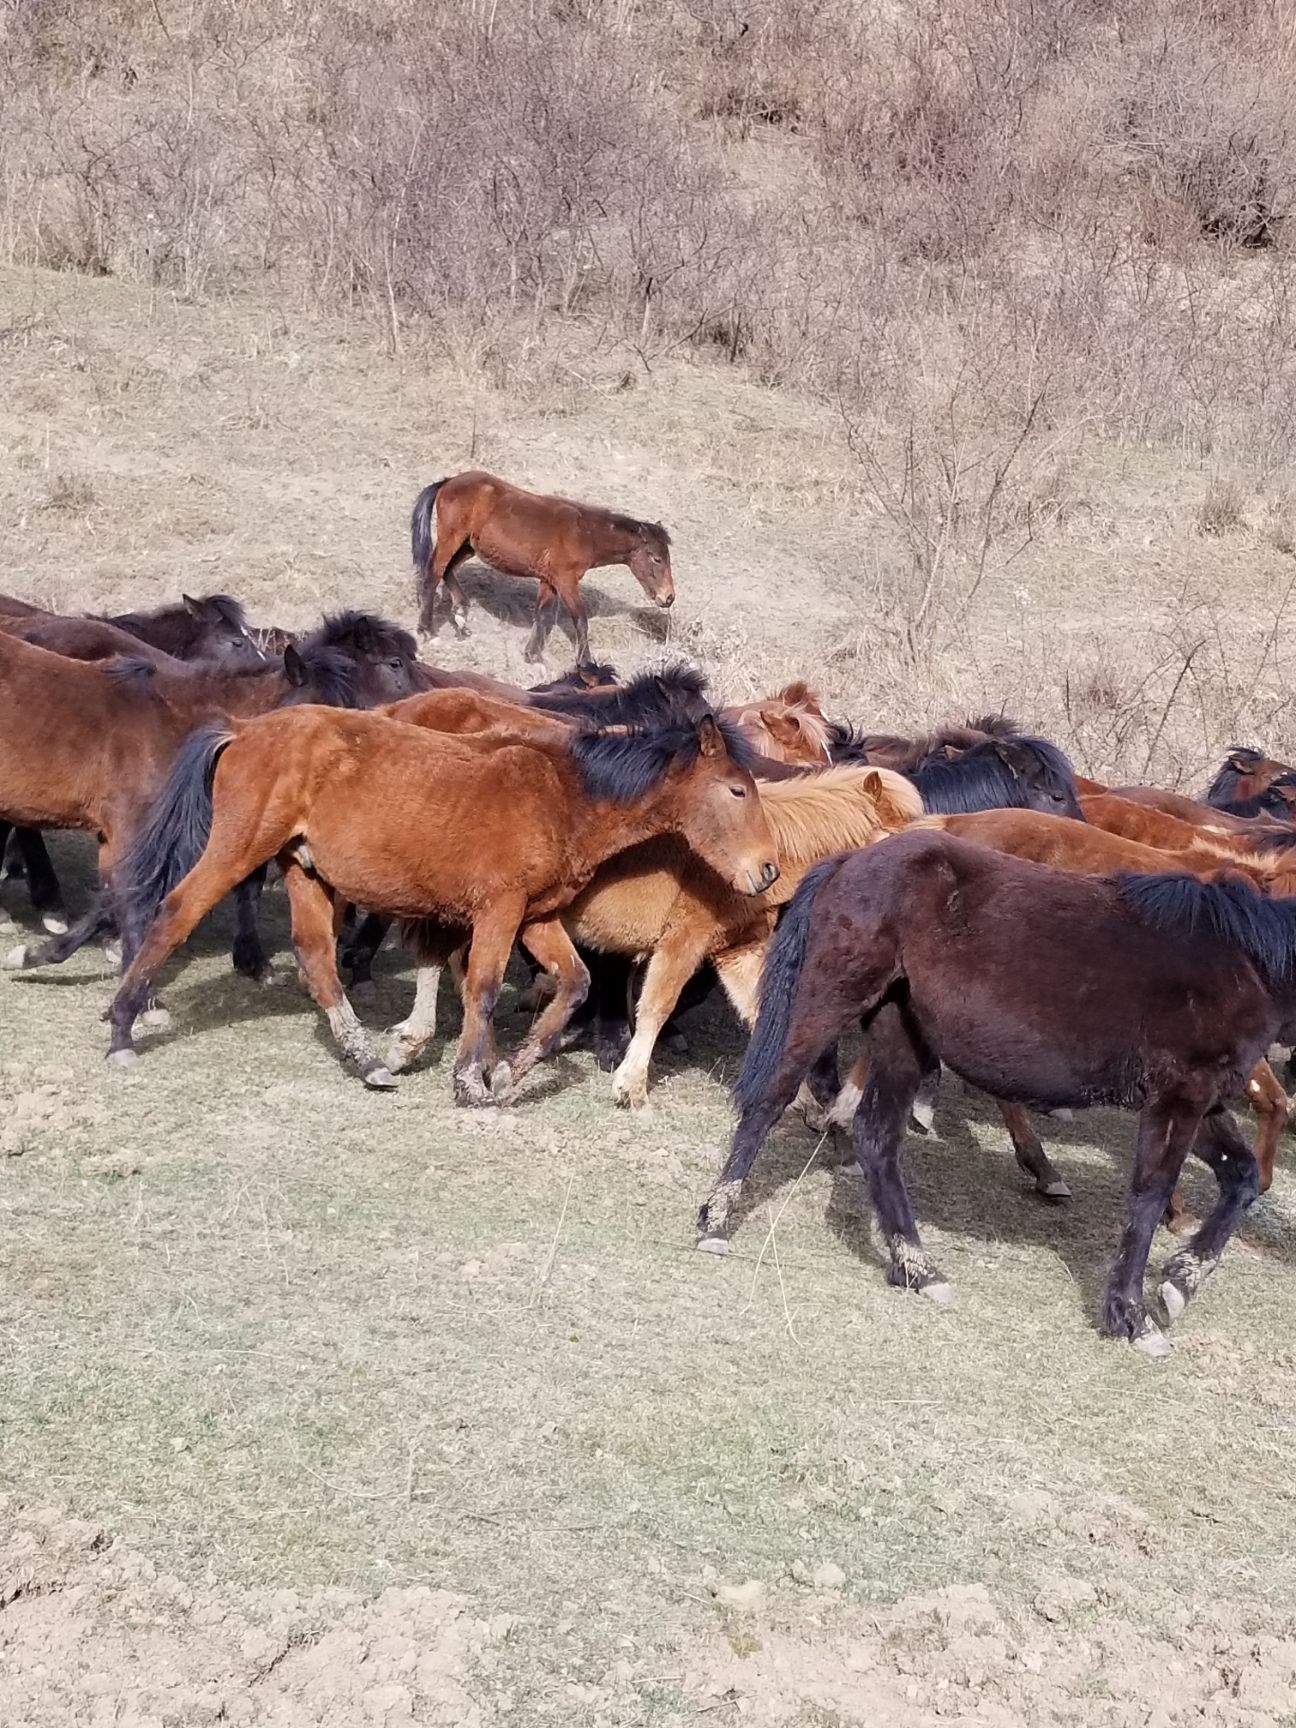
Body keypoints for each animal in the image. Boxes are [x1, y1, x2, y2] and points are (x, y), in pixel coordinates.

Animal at [412, 470, 680, 663]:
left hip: (468, 545)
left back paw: (460, 619)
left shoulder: (548, 580)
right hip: (452, 538)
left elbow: (542, 614)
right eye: (657, 558)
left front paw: (532, 655)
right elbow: (580, 620)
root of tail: (449, 482)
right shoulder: (566, 580)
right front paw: (585, 662)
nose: (668, 597)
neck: (584, 533)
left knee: (447, 571)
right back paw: (428, 630)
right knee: (434, 573)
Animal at [694, 829, 1285, 1354]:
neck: (1241, 961)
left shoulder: (1203, 1100)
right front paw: (1133, 1317)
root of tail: (850, 859)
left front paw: (1180, 1281)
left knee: (876, 1138)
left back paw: (918, 1267)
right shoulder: (1178, 1097)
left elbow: (1241, 1178)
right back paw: (716, 1223)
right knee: (770, 1100)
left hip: (899, 1035)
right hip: (827, 1004)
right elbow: (1149, 1197)